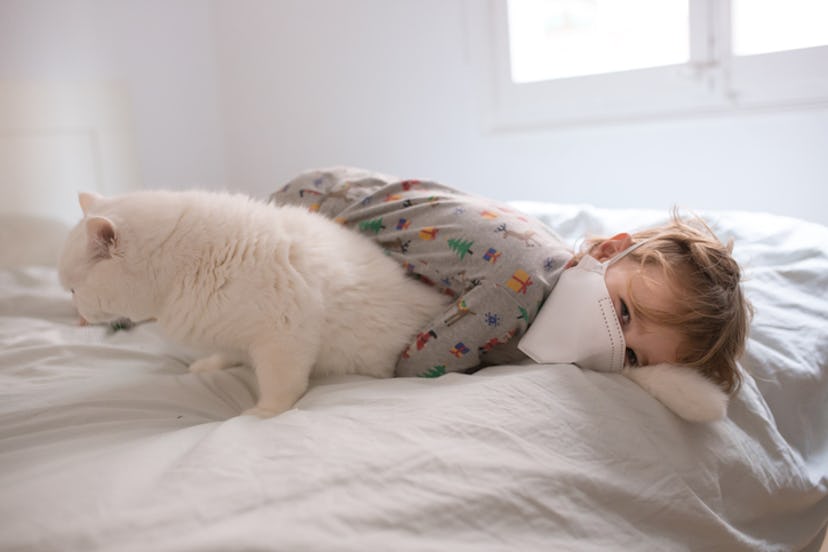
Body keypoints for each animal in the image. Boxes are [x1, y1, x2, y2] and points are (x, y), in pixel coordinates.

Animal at [59, 192, 450, 416]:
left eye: (74, 290)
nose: (78, 317)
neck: (189, 261)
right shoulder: (231, 329)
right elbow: (228, 352)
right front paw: (209, 364)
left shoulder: (284, 335)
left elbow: (281, 385)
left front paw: (263, 414)